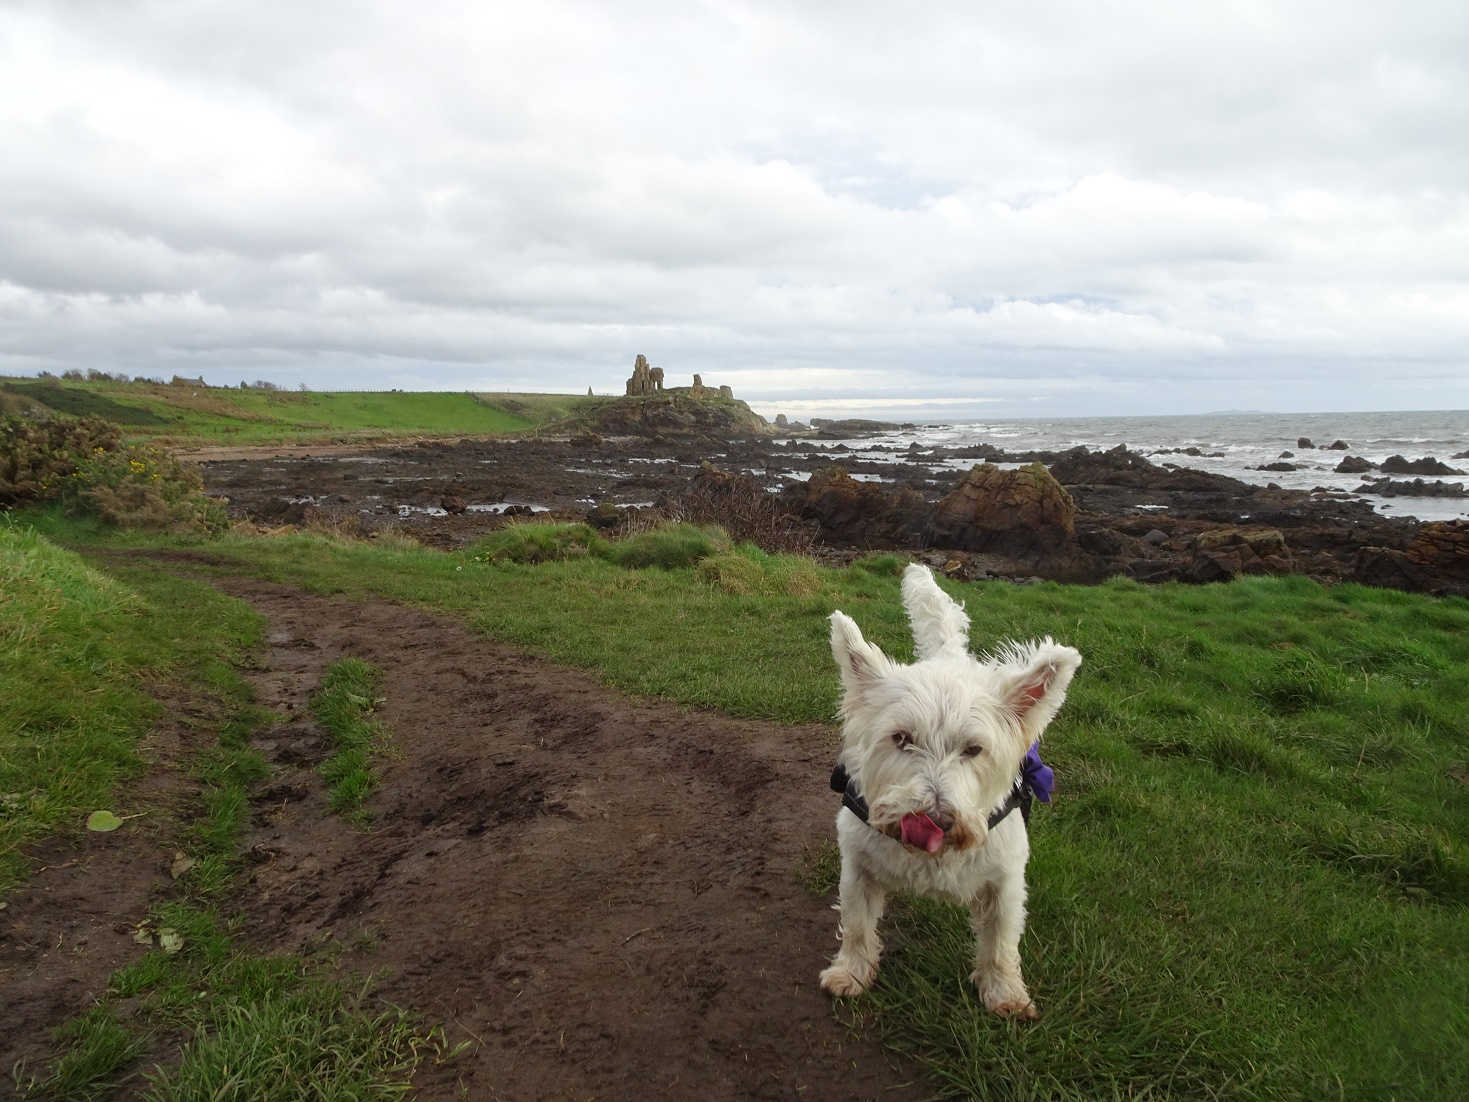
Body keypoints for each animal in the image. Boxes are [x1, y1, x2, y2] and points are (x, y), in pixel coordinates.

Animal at [822, 564, 1087, 1022]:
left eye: (974, 749)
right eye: (901, 738)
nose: (935, 819)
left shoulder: (1006, 881)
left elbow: (1000, 942)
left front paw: (1005, 993)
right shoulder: (858, 868)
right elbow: (857, 926)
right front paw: (850, 974)